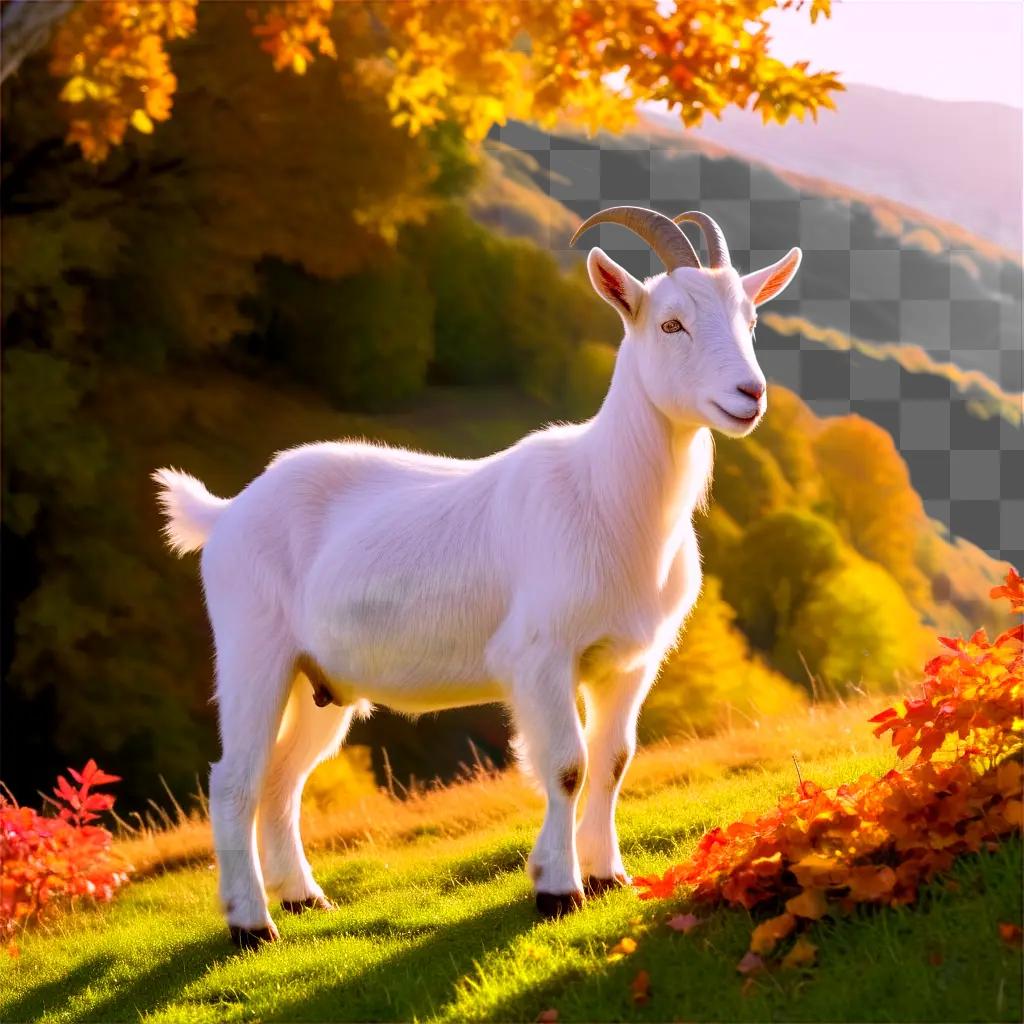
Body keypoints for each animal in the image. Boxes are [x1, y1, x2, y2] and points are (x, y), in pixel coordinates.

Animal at [155, 205, 802, 942]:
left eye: (751, 320)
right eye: (671, 323)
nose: (750, 394)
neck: (605, 496)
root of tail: (226, 512)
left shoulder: (629, 661)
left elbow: (613, 761)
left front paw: (607, 875)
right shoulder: (539, 654)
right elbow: (568, 765)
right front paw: (557, 888)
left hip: (321, 682)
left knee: (281, 779)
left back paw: (302, 898)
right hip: (253, 647)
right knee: (233, 778)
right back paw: (251, 925)